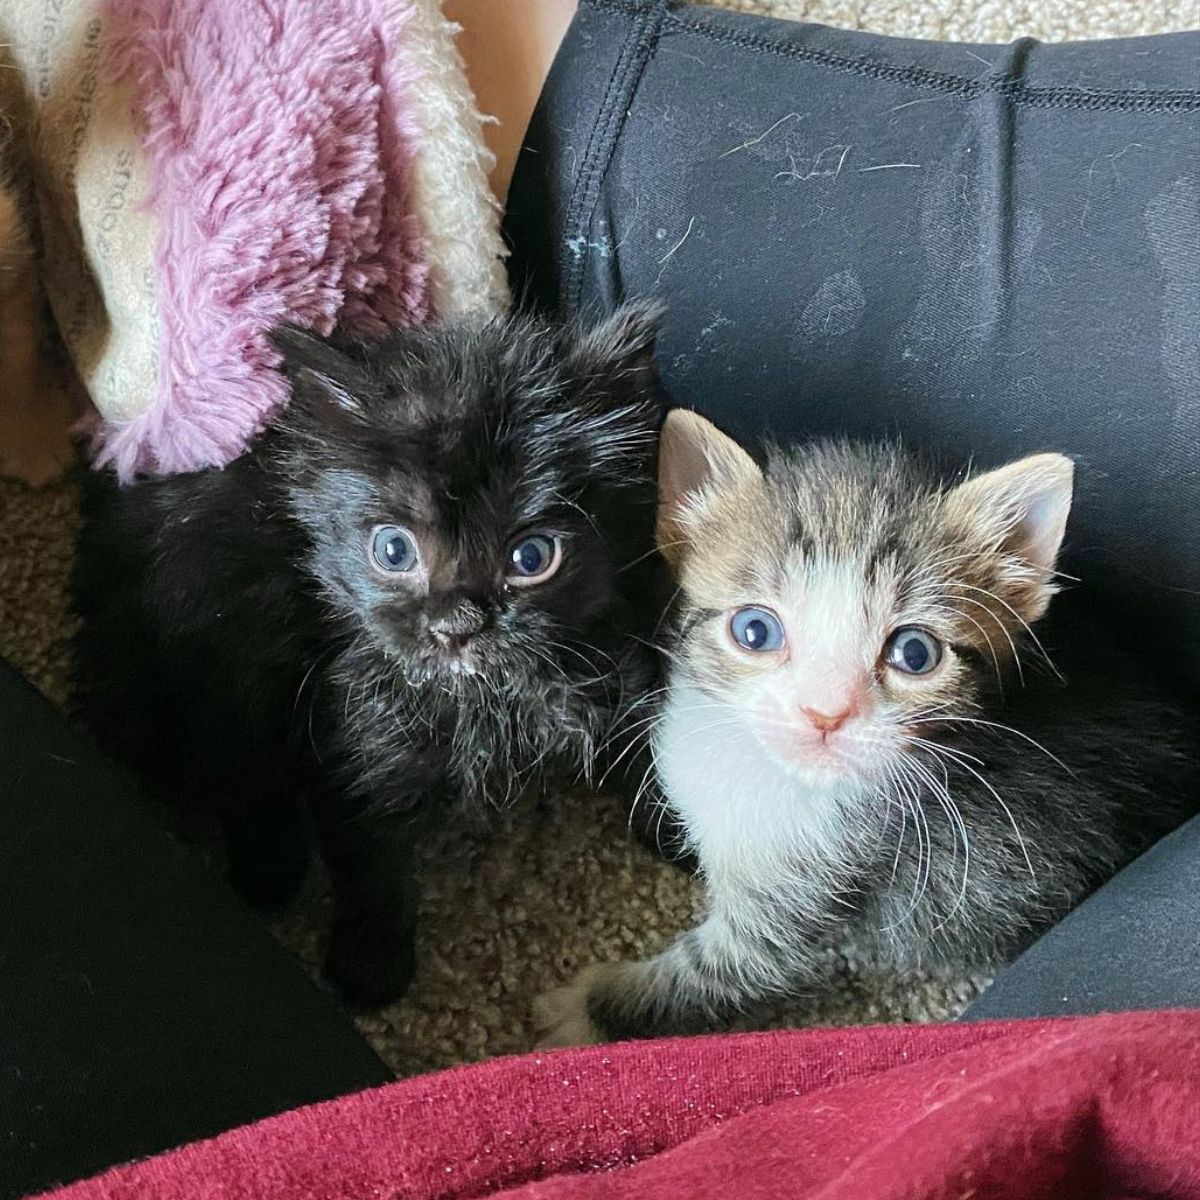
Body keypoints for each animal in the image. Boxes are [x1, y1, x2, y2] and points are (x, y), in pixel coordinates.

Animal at [72, 300, 667, 1003]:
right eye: (393, 549)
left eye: (531, 558)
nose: (457, 624)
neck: (478, 695)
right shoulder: (357, 741)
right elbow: (372, 866)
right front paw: (371, 967)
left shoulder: (612, 647)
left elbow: (646, 745)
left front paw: (682, 833)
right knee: (235, 767)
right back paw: (269, 869)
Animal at [537, 410, 1200, 1041]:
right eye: (755, 630)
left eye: (914, 653)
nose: (825, 713)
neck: (770, 780)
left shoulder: (824, 897)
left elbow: (722, 973)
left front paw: (587, 1009)